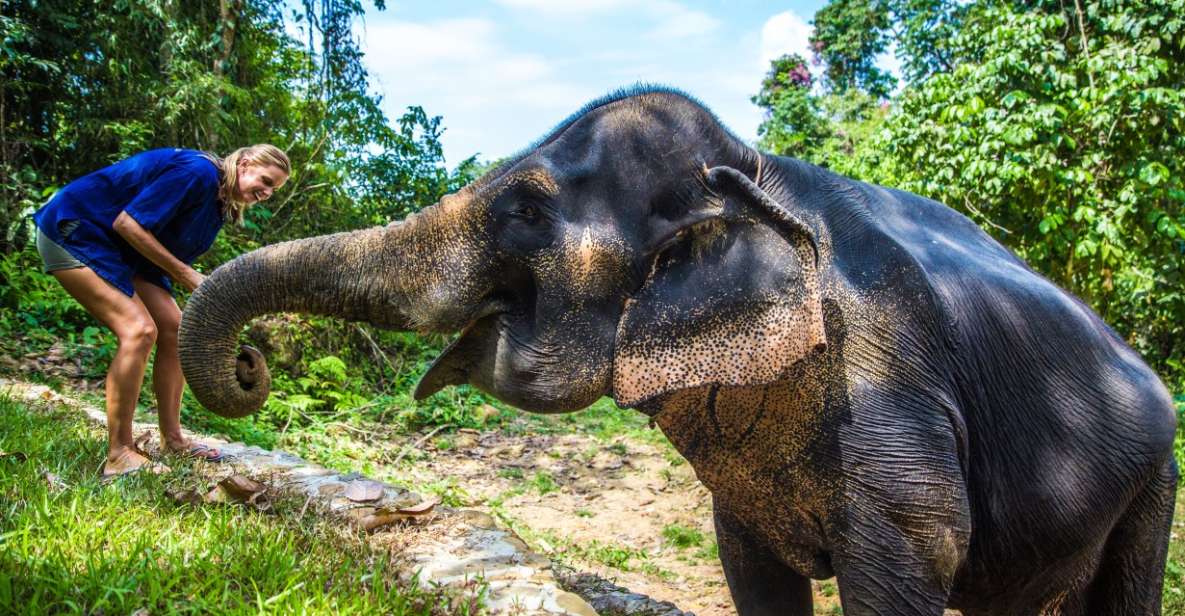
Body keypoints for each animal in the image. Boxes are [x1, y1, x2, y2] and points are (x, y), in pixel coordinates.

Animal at [180, 87, 1180, 616]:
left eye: (526, 209)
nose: (250, 365)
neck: (759, 170)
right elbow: (751, 566)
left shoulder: (889, 383)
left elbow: (917, 549)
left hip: (1155, 481)